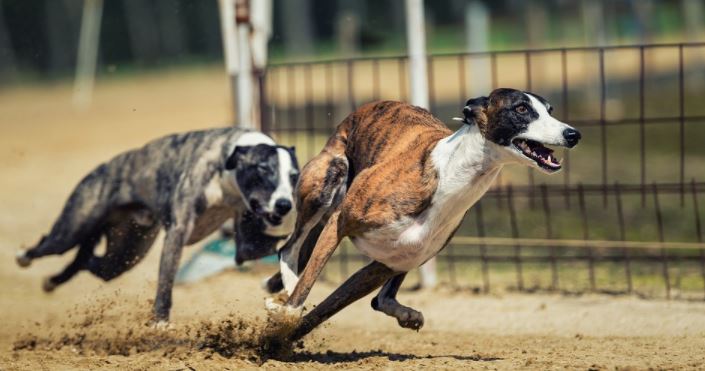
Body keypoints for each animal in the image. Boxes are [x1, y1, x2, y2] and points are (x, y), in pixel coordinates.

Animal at [15, 127, 296, 322]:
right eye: (263, 169)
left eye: (293, 176)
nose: (285, 205)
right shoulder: (177, 232)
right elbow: (166, 280)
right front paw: (160, 322)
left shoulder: (246, 245)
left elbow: (270, 248)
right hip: (73, 228)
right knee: (50, 245)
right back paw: (23, 257)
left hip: (125, 253)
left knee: (88, 260)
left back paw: (52, 281)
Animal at [266, 89, 580, 340]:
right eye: (521, 109)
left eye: (550, 110)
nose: (573, 134)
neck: (449, 177)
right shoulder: (339, 222)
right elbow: (306, 287)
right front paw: (284, 318)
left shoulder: (385, 265)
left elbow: (323, 312)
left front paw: (277, 344)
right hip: (327, 180)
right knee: (289, 249)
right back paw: (285, 291)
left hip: (405, 254)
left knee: (380, 299)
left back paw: (405, 314)